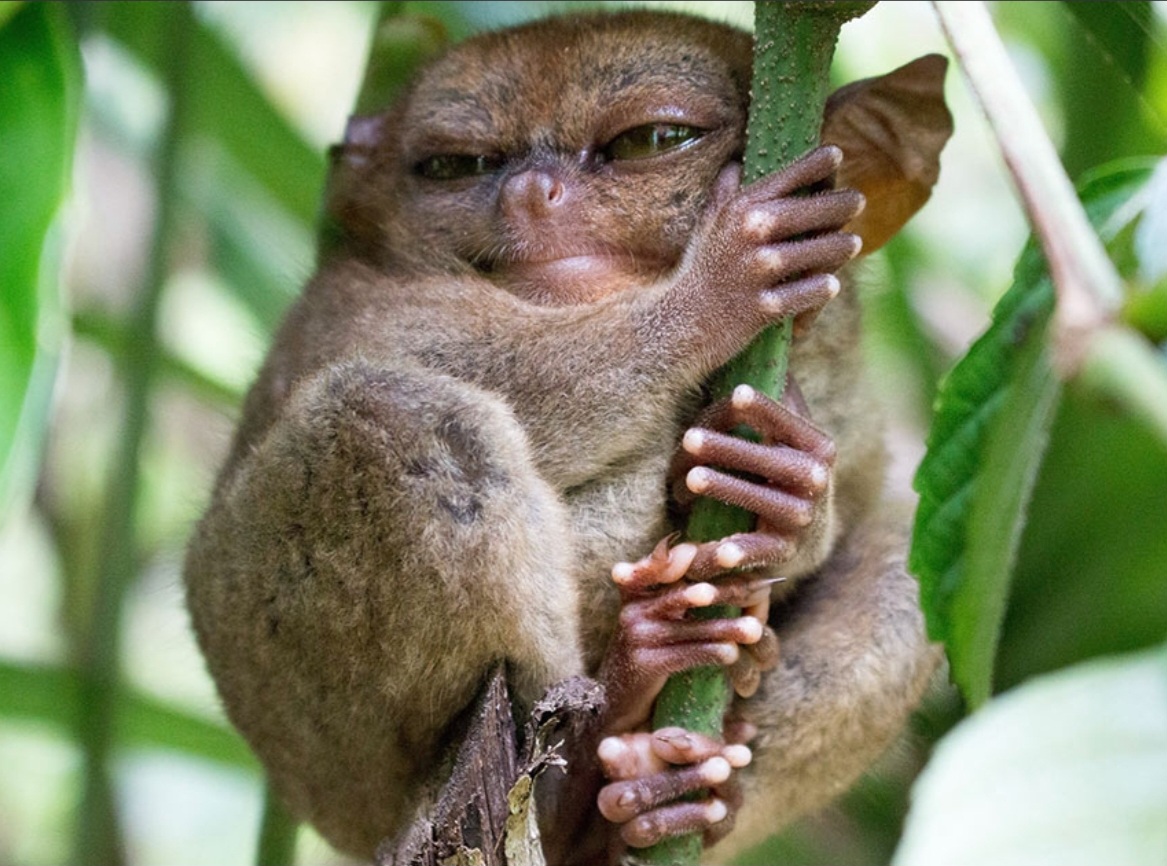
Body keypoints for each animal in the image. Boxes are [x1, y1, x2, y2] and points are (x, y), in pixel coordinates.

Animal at [183, 9, 952, 864]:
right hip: (307, 723)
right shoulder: (350, 306)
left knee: (904, 574)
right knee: (393, 410)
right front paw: (718, 284)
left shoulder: (850, 389)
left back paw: (650, 799)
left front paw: (787, 485)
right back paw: (597, 735)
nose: (529, 194)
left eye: (651, 141)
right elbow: (502, 379)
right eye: (455, 165)